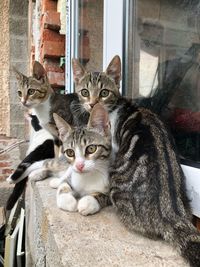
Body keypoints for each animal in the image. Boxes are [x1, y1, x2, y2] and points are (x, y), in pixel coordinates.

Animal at [71, 55, 199, 266]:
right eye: (84, 92)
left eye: (104, 93)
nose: (92, 104)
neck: (116, 107)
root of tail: (172, 213)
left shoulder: (112, 147)